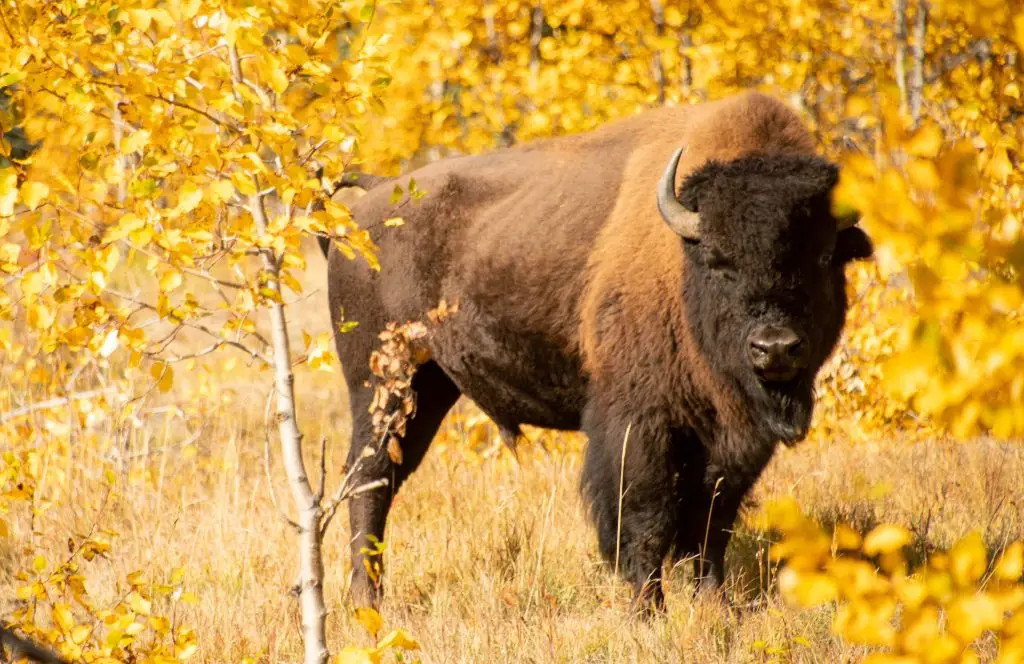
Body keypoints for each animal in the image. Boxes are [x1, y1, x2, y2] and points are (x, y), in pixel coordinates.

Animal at [322, 91, 873, 612]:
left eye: (826, 256)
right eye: (720, 262)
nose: (775, 348)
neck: (681, 260)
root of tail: (369, 201)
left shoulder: (736, 441)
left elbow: (712, 518)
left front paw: (716, 605)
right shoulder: (639, 422)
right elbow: (647, 514)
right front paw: (646, 610)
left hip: (430, 386)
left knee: (385, 476)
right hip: (381, 383)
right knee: (369, 477)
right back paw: (366, 600)